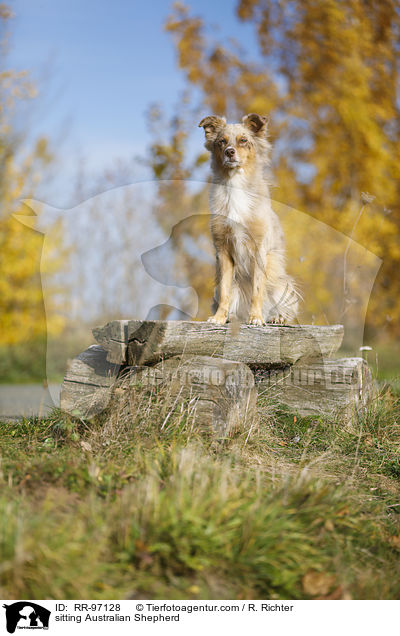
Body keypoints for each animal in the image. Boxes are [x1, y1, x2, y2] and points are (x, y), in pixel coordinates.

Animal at [198, 111, 298, 326]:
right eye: (221, 141)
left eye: (243, 140)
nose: (229, 152)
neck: (235, 182)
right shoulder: (223, 250)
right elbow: (225, 291)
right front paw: (219, 317)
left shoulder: (259, 248)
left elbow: (257, 290)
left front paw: (256, 318)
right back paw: (232, 316)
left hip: (280, 283)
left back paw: (276, 317)